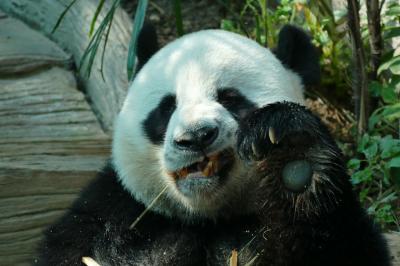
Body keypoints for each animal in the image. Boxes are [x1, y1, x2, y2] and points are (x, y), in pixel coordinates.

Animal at [38, 25, 390, 266]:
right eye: (167, 107)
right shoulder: (109, 212)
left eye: (231, 98)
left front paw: (296, 157)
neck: (206, 217)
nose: (196, 136)